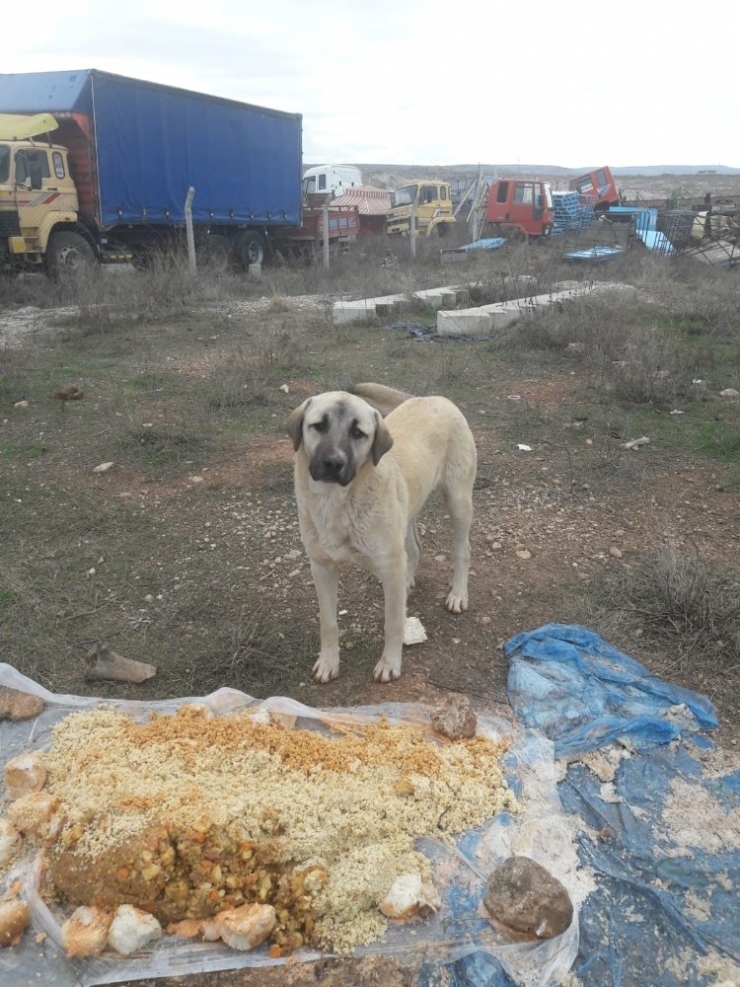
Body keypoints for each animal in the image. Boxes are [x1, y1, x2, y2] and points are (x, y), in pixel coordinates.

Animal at [286, 382, 476, 684]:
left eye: (357, 433)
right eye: (319, 425)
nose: (333, 463)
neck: (336, 501)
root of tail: (434, 397)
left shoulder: (389, 562)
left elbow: (393, 623)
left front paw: (389, 664)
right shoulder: (322, 567)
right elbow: (328, 621)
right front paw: (328, 662)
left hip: (457, 501)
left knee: (462, 550)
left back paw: (458, 594)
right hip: (406, 513)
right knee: (413, 550)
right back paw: (408, 582)